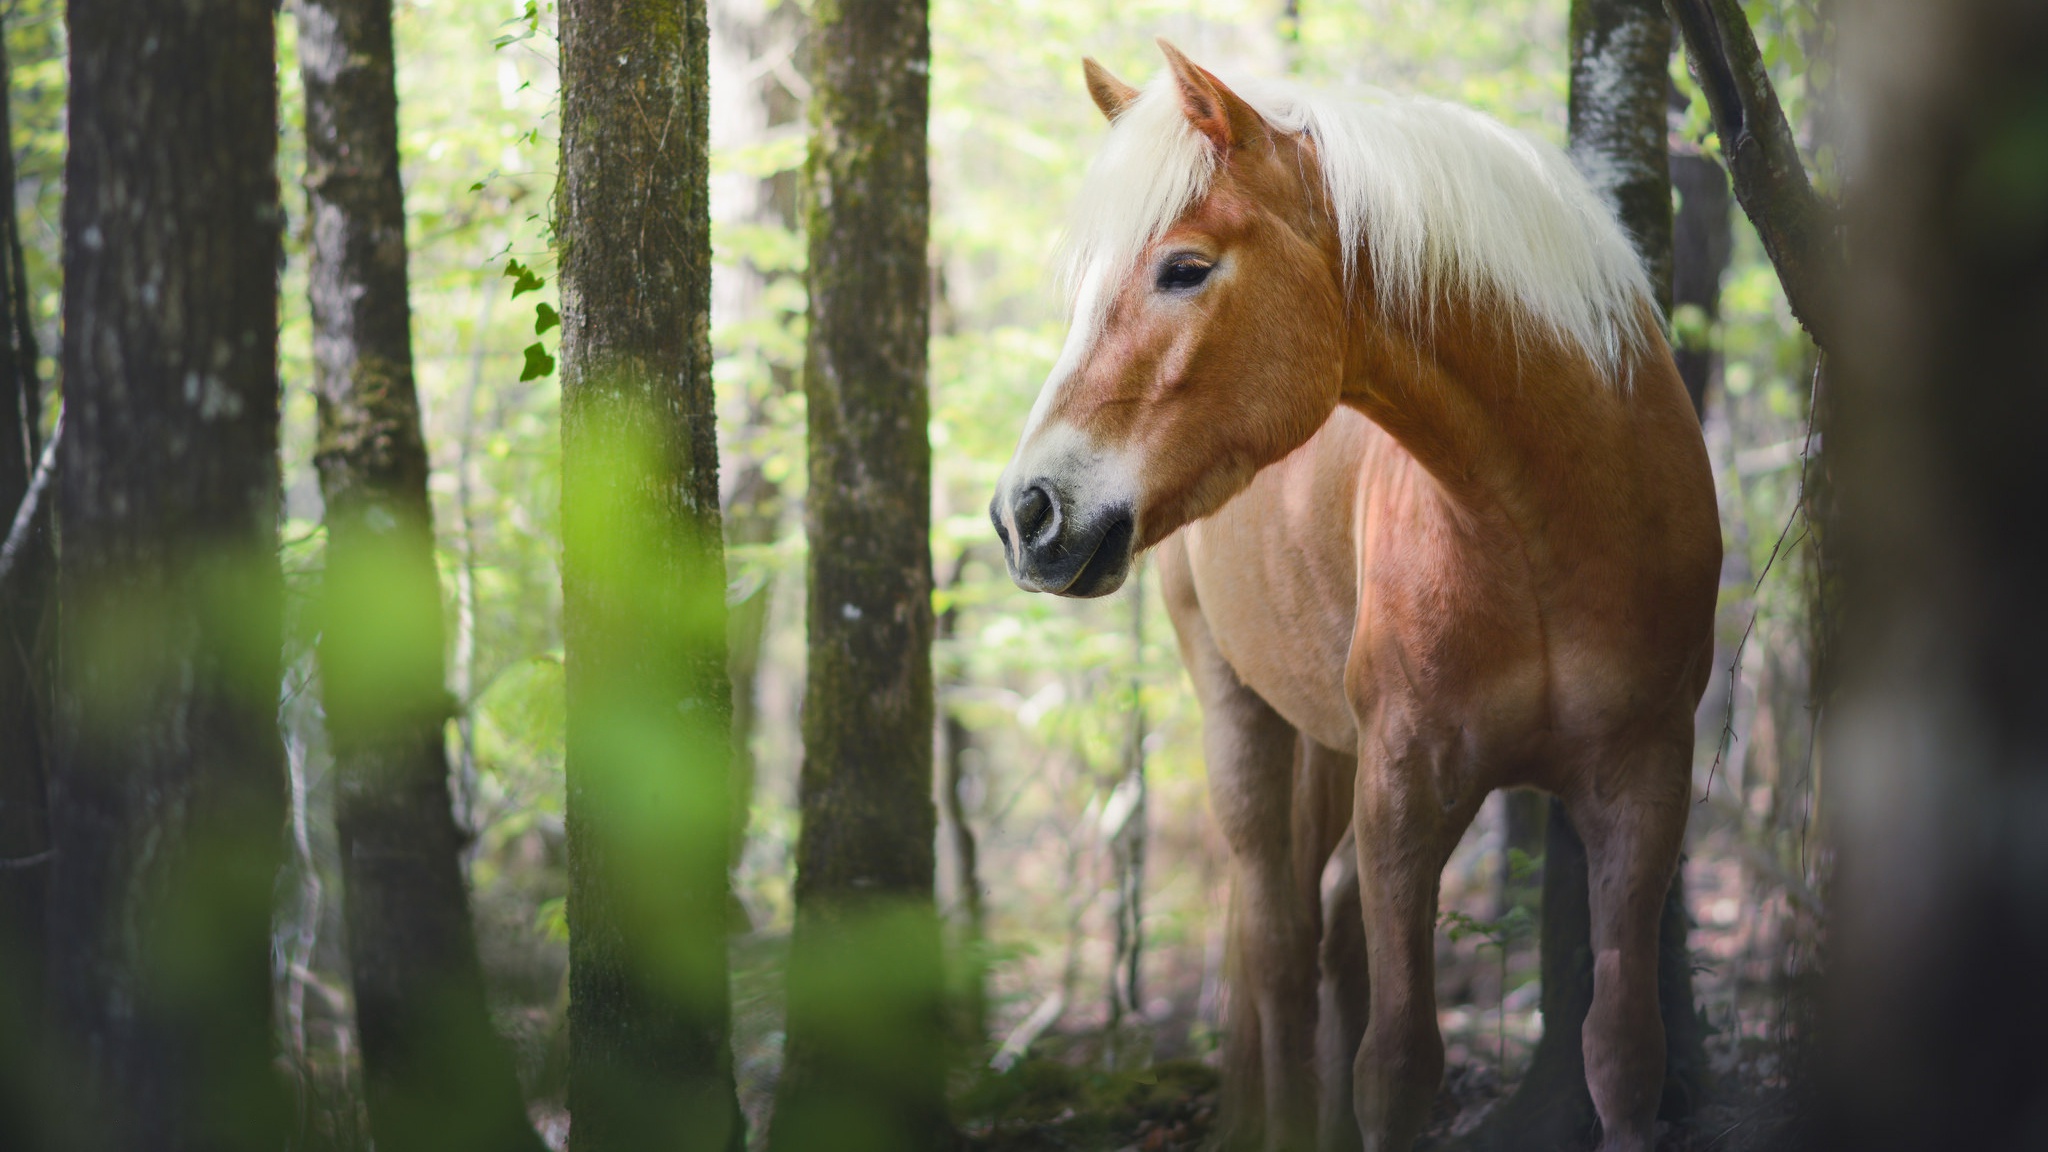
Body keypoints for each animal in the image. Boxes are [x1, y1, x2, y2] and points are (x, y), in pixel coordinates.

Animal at [983, 42, 1720, 1147]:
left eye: (1185, 267)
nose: (1025, 514)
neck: (1543, 528)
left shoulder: (1642, 784)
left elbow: (1623, 1053)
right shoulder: (1403, 787)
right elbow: (1399, 1063)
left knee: (1325, 935)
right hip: (1241, 717)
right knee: (1282, 947)